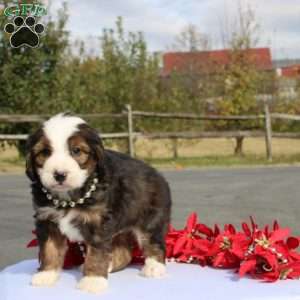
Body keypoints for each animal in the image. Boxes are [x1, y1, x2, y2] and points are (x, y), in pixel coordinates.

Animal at [25, 113, 171, 294]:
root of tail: (158, 175)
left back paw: (154, 267)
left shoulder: (98, 223)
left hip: (150, 219)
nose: (59, 174)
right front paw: (46, 275)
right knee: (124, 253)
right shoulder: (47, 220)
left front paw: (93, 280)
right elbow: (49, 249)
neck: (70, 198)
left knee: (153, 242)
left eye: (76, 151)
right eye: (45, 152)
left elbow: (96, 253)